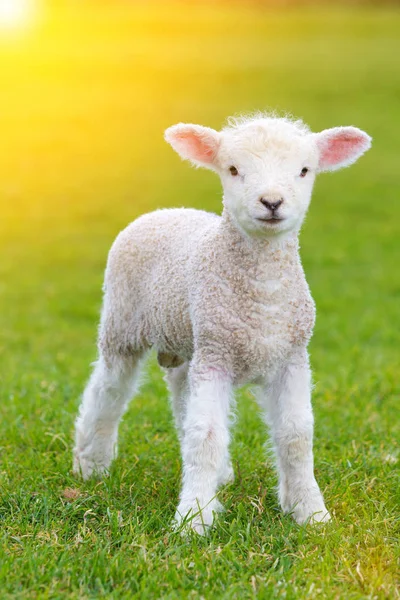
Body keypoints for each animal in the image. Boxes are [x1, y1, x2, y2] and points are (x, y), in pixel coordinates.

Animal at [72, 113, 372, 536]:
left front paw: (310, 513)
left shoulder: (291, 356)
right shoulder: (216, 357)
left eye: (304, 170)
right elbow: (208, 435)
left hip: (190, 339)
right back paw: (91, 464)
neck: (262, 295)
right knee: (108, 390)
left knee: (180, 393)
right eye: (232, 169)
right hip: (124, 322)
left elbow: (296, 435)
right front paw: (193, 520)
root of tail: (166, 209)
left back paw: (219, 474)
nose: (272, 202)